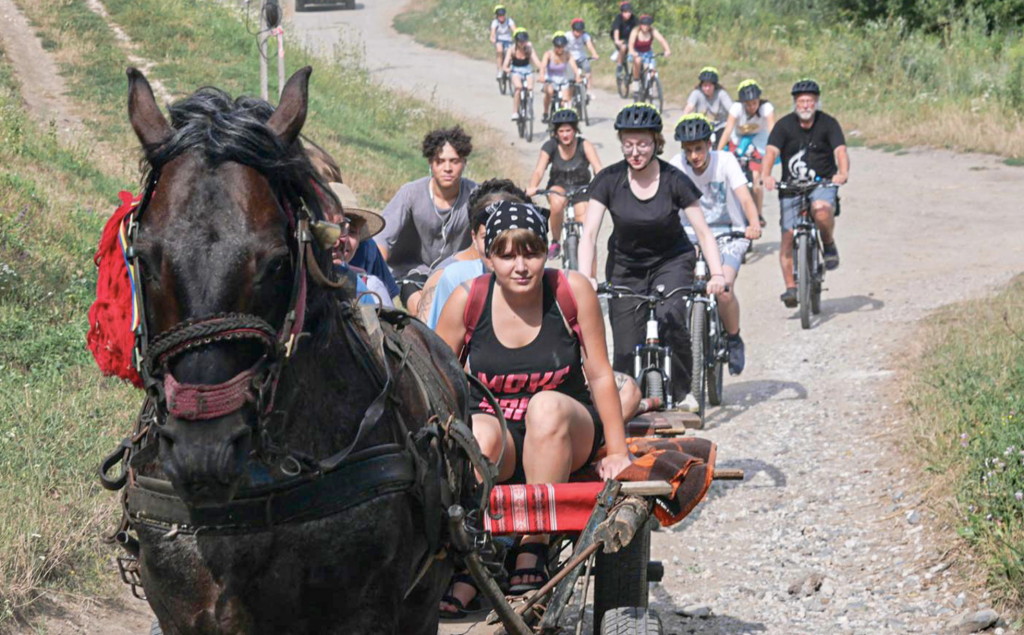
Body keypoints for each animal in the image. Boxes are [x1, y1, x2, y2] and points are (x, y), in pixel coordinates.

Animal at [117, 65, 468, 635]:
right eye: (145, 258)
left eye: (276, 261)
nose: (204, 451)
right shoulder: (182, 611)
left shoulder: (365, 613)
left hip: (424, 600)